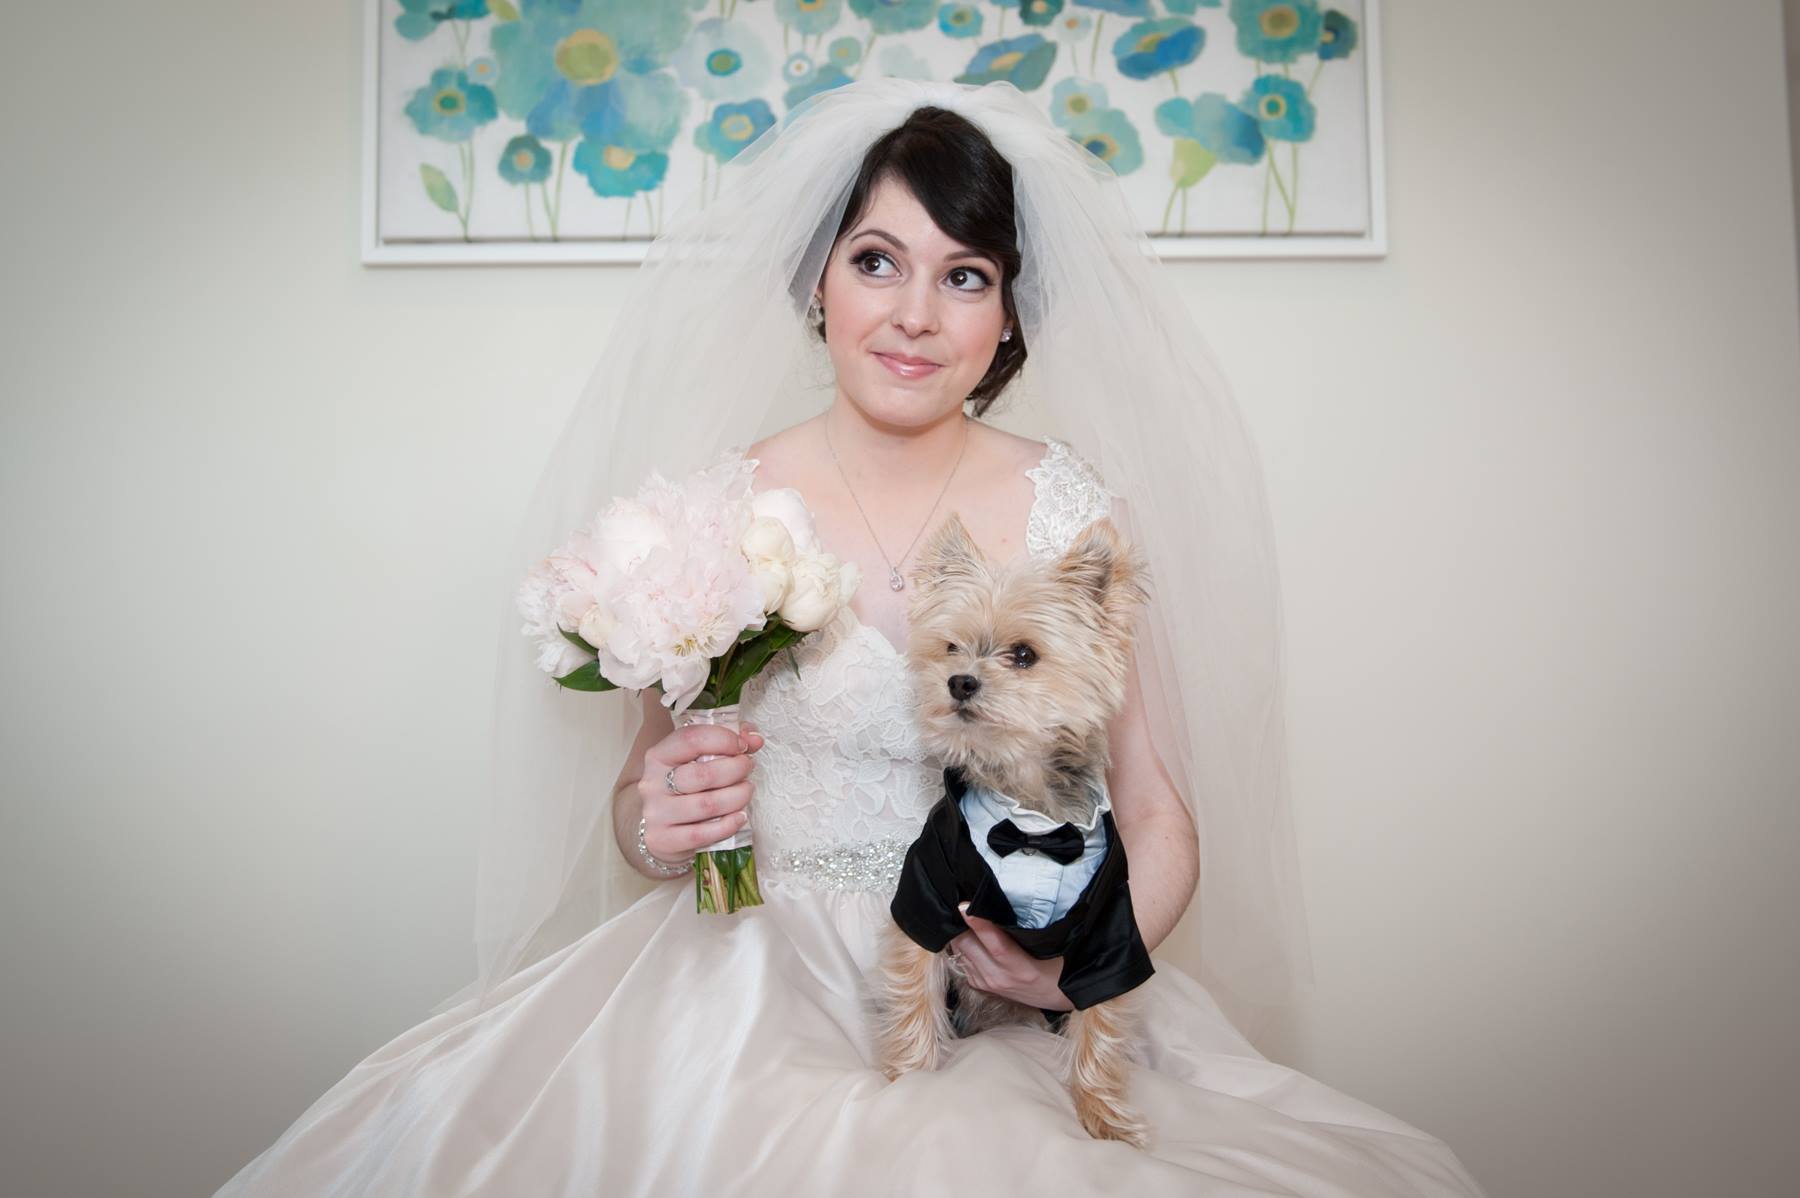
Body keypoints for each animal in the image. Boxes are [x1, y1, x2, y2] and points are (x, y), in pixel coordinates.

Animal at [878, 507, 1159, 1144]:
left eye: (1025, 656)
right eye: (951, 647)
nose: (959, 681)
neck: (1029, 820)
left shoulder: (1111, 932)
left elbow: (1101, 1021)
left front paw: (1104, 1117)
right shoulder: (926, 894)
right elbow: (914, 987)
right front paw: (906, 1080)